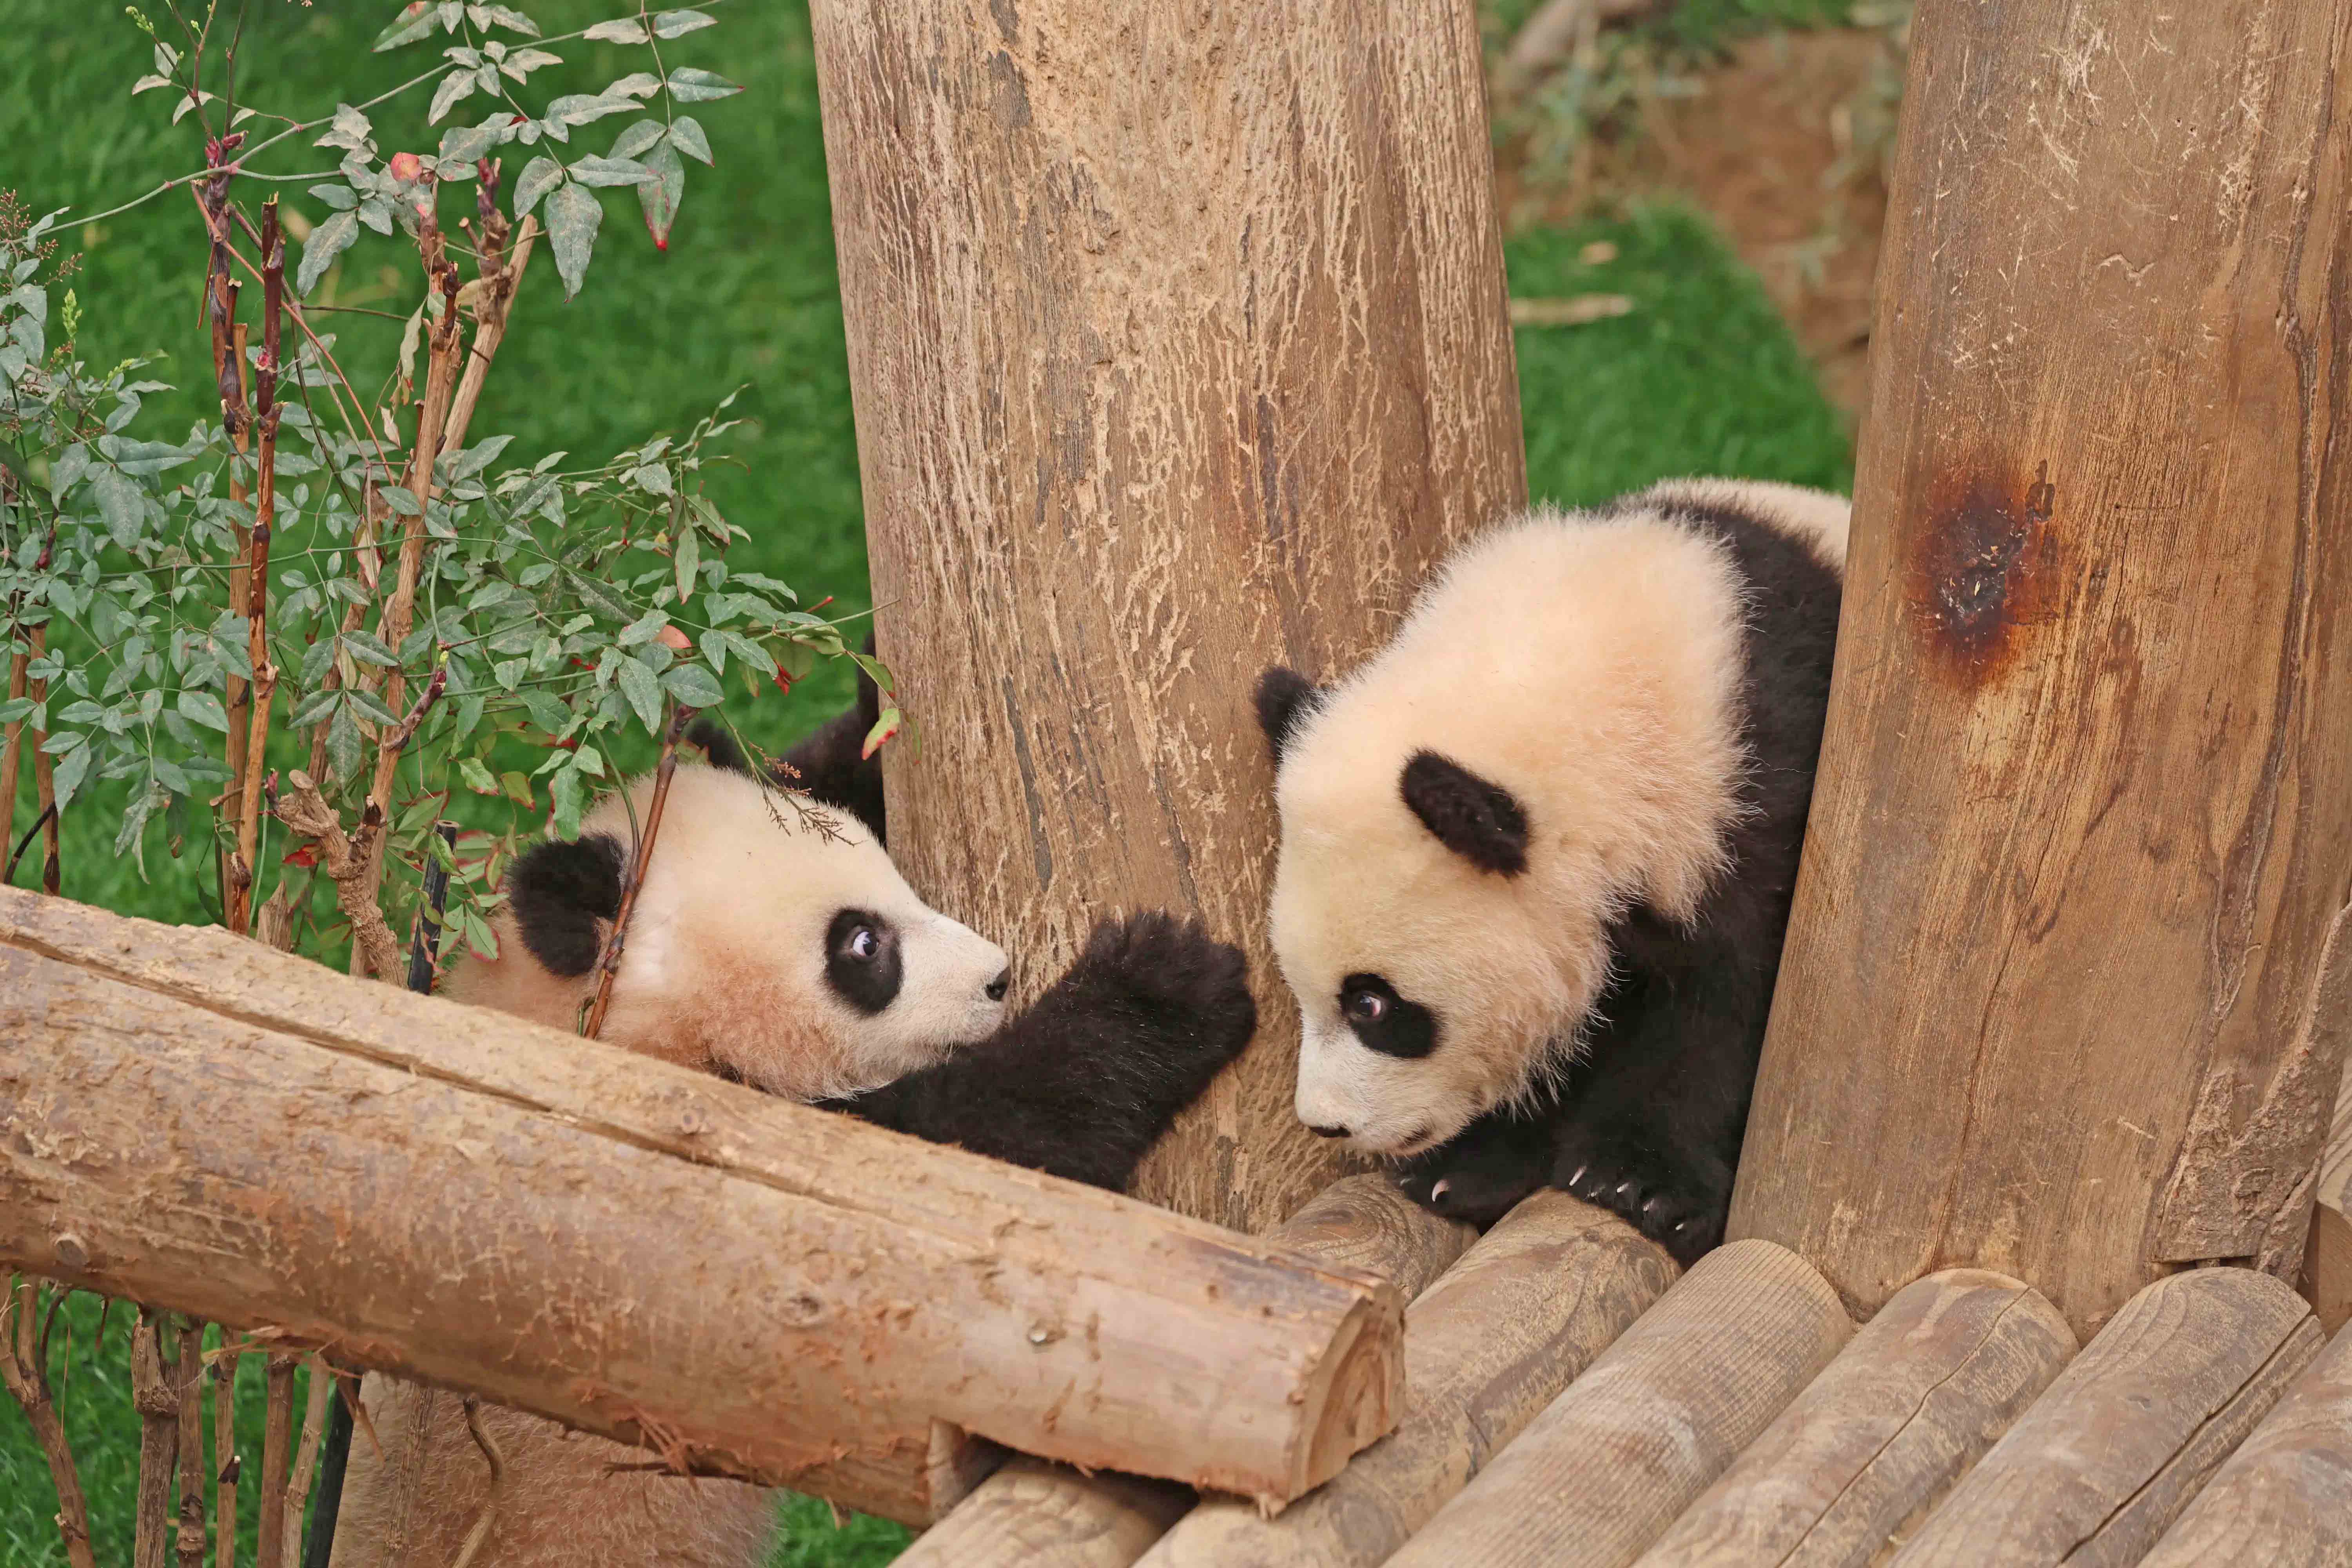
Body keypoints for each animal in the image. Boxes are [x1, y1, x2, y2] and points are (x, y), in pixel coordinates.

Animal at [333, 693, 1257, 1568]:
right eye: (862, 945)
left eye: (893, 875)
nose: (998, 978)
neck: (595, 1019)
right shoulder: (684, 1179)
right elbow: (948, 1182)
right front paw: (1163, 985)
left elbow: (816, 764)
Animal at [1252, 477, 1846, 1265]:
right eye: (1298, 987)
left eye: (1371, 1006)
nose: (1328, 1123)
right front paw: (1471, 1165)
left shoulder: (1756, 796)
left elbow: (1726, 997)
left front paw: (1639, 1183)